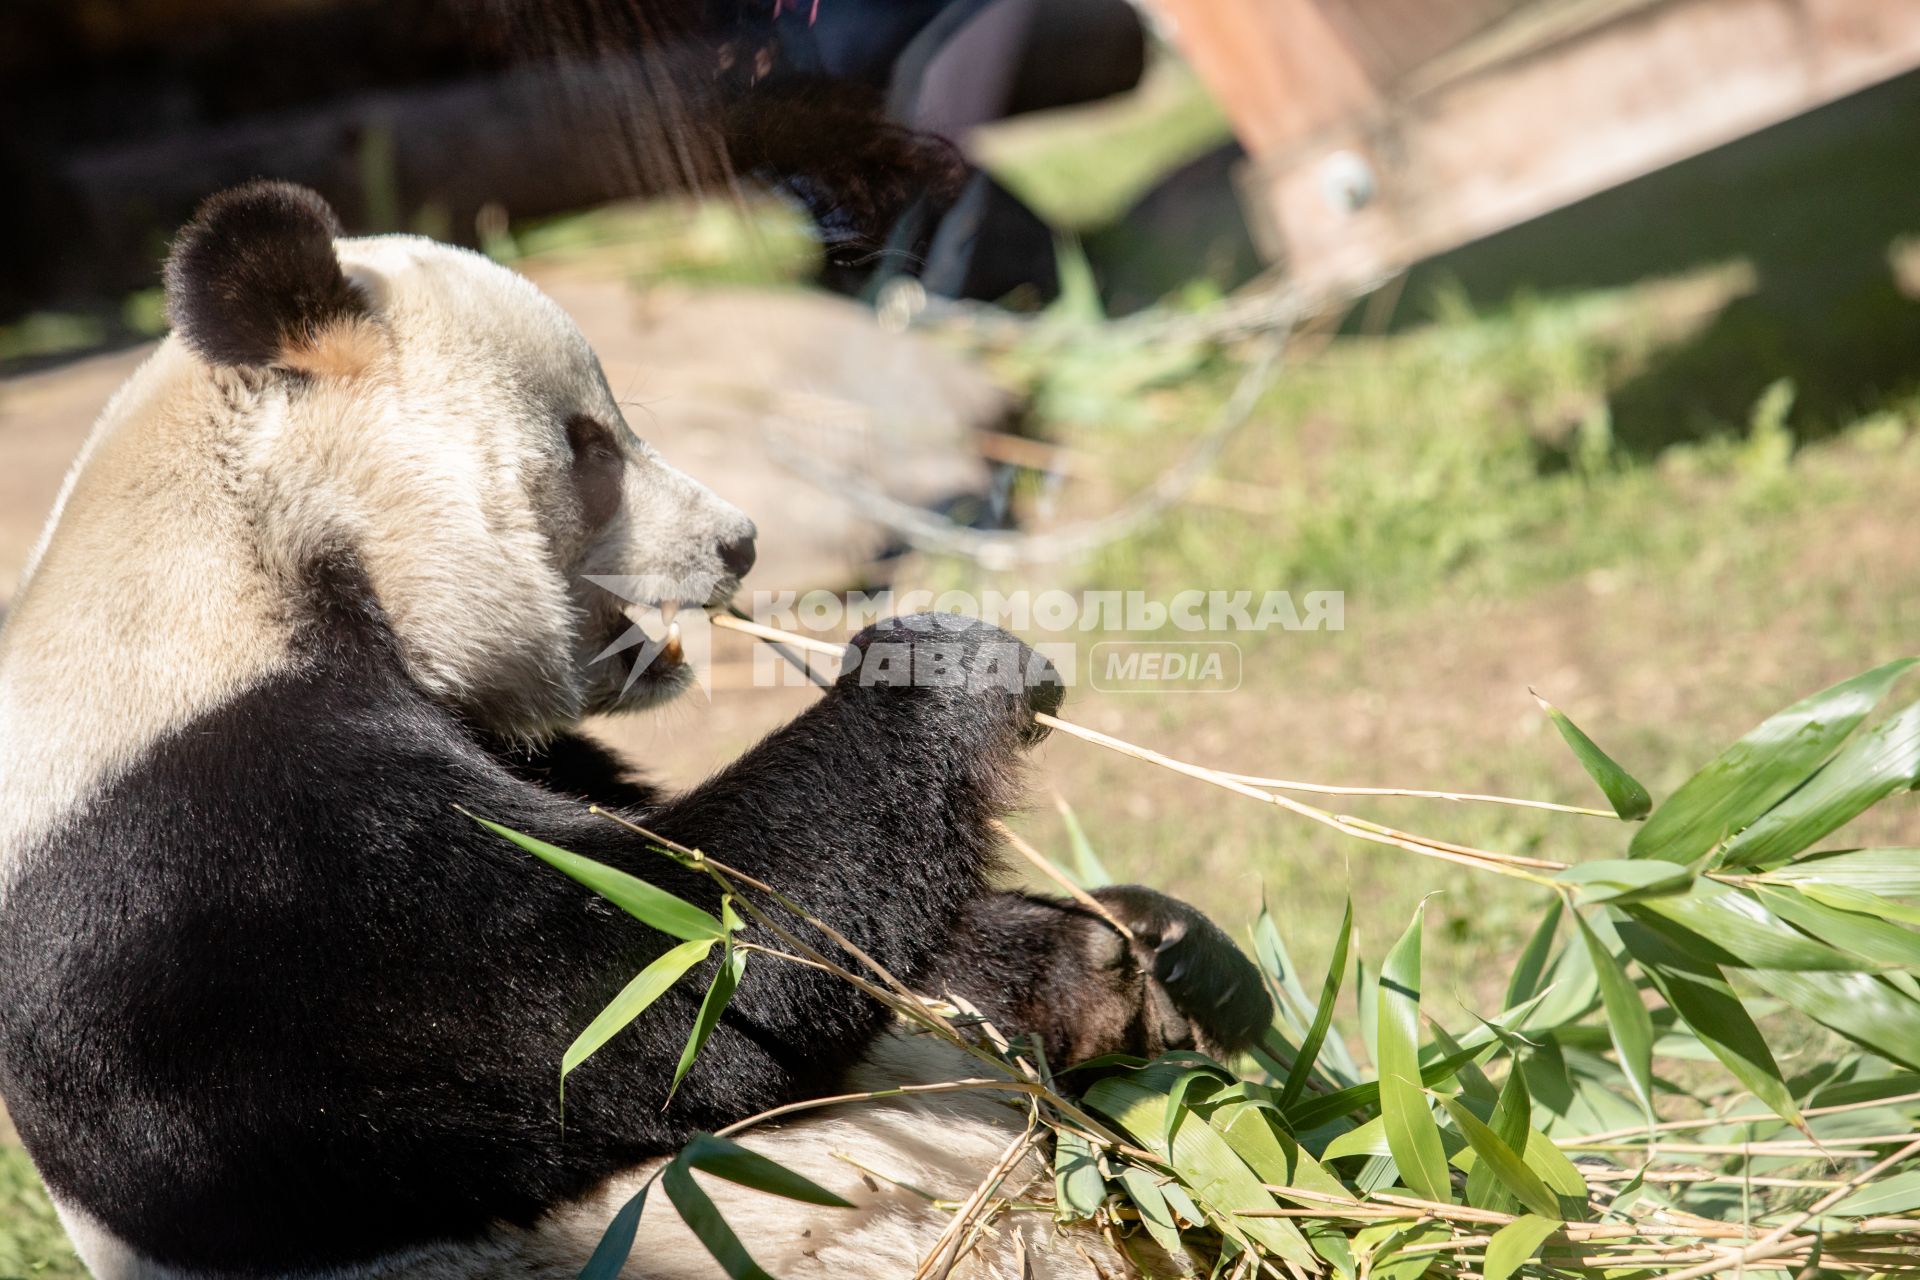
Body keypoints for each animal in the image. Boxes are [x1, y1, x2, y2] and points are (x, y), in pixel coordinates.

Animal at [0, 182, 1274, 1280]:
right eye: (590, 444)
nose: (740, 542)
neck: (250, 559)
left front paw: (1140, 946)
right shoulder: (210, 859)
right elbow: (649, 978)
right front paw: (949, 666)